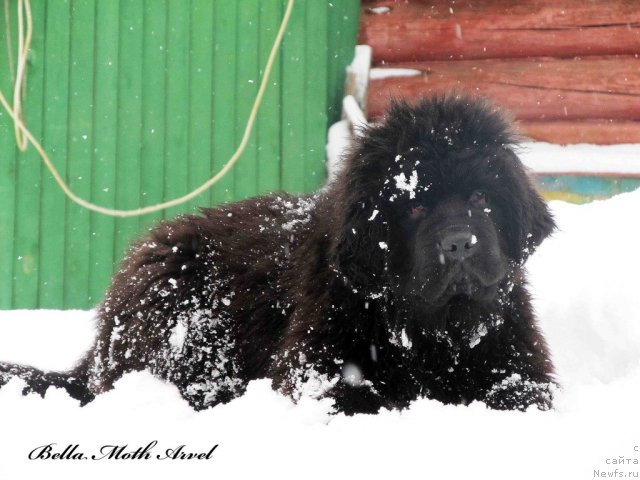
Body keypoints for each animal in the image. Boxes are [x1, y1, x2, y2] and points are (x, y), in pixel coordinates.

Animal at [1, 96, 556, 412]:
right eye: (415, 206)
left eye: (481, 198)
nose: (459, 243)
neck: (433, 328)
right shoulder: (313, 369)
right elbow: (360, 394)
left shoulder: (520, 361)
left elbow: (523, 394)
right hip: (178, 303)